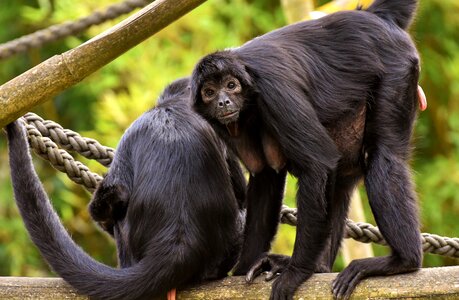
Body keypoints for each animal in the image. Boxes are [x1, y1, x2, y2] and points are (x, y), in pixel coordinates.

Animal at [190, 0, 424, 300]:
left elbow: (318, 164)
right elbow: (265, 175)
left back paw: (403, 261)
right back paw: (320, 267)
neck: (250, 98)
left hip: (396, 69)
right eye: (209, 92)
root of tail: (372, 17)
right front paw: (242, 270)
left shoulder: (274, 91)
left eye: (231, 86)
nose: (223, 102)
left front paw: (296, 273)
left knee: (382, 157)